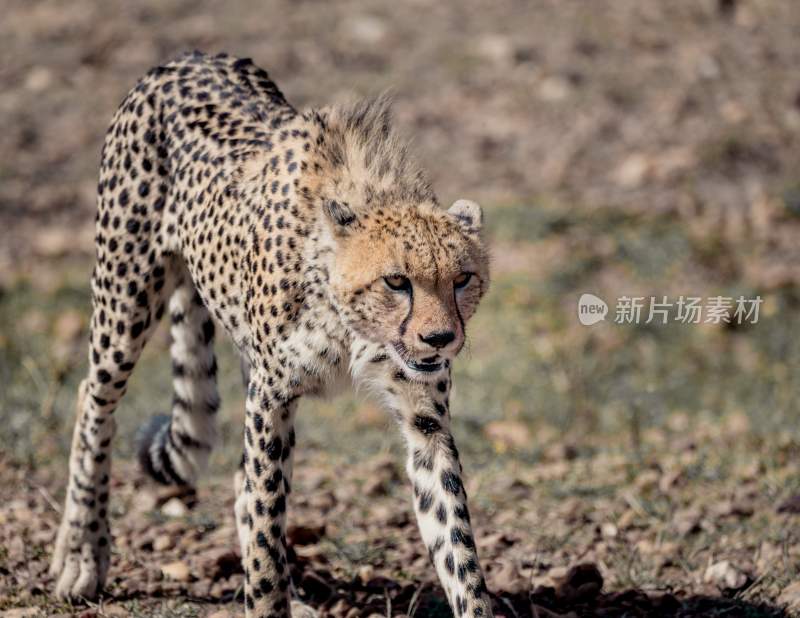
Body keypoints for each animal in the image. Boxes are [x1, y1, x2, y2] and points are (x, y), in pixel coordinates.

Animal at [51, 53, 494, 616]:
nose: (439, 339)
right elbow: (265, 528)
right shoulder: (271, 395)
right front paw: (264, 599)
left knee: (242, 478)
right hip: (124, 301)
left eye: (462, 279)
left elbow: (455, 541)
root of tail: (190, 57)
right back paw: (80, 554)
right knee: (93, 397)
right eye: (397, 281)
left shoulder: (424, 419)